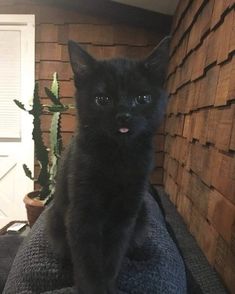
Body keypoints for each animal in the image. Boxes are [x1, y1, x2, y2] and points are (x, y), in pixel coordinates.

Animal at [46, 37, 169, 294]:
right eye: (102, 100)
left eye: (142, 98)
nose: (124, 115)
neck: (117, 156)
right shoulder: (82, 213)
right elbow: (88, 261)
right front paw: (91, 287)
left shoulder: (125, 214)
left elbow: (113, 256)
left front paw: (109, 285)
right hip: (54, 220)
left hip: (141, 213)